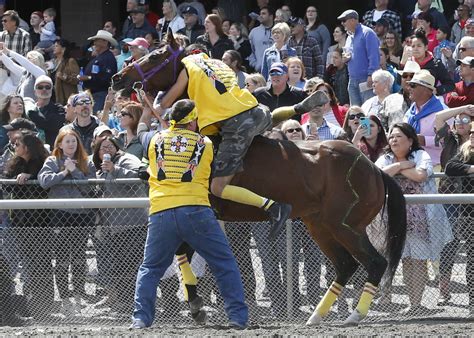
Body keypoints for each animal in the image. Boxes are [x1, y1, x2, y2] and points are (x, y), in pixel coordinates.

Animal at [111, 33, 408, 326]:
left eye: (155, 56)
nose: (118, 77)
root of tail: (374, 169)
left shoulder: (203, 211)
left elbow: (184, 251)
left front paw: (196, 304)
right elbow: (182, 253)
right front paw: (196, 305)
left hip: (346, 225)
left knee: (375, 263)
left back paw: (355, 314)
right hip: (320, 225)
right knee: (346, 265)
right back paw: (316, 315)